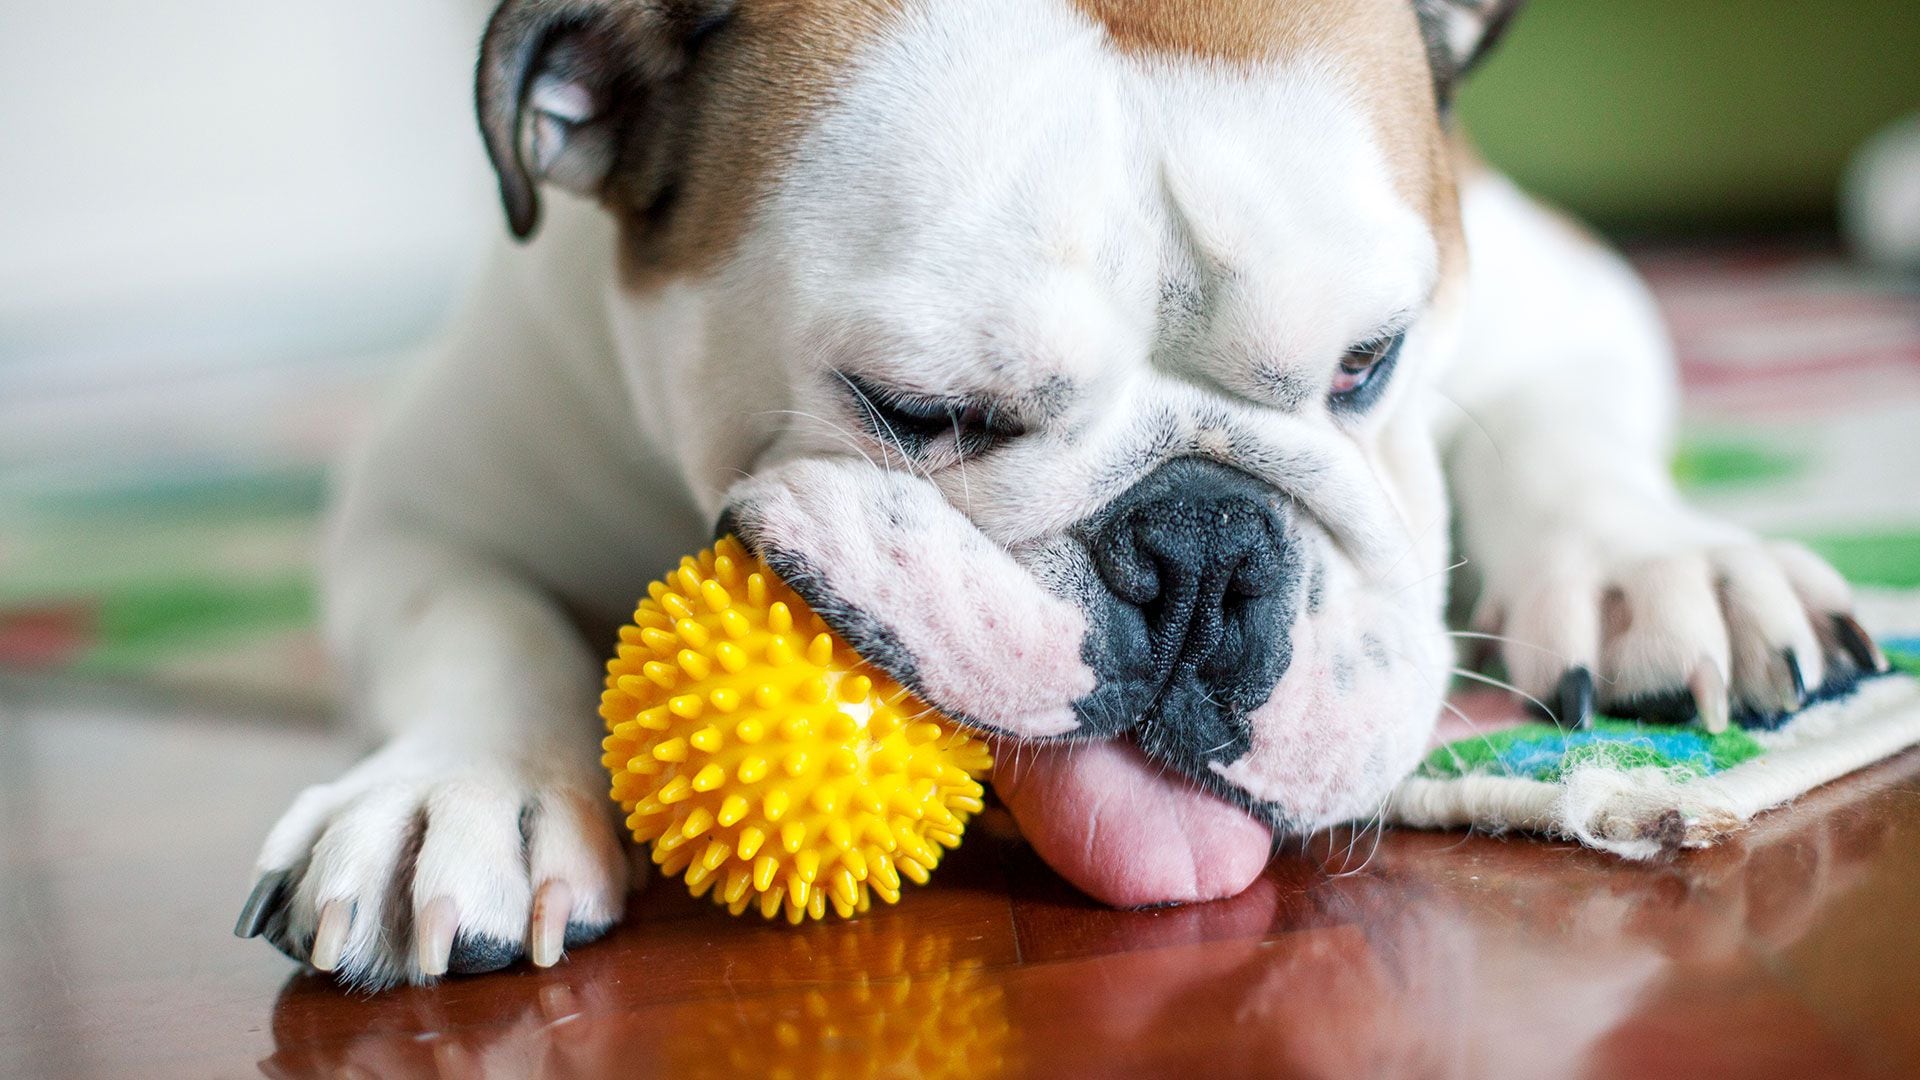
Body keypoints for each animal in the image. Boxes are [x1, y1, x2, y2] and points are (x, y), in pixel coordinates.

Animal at [232, 0, 1881, 983]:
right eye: (922, 413)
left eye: (1370, 362)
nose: (1205, 549)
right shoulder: (423, 498)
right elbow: (474, 622)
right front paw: (457, 790)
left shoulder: (1556, 291)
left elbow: (1568, 436)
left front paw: (1659, 567)